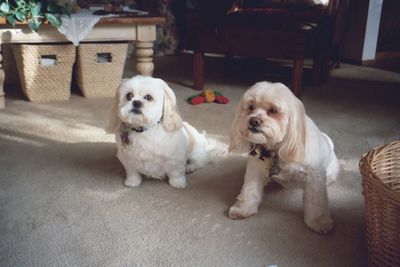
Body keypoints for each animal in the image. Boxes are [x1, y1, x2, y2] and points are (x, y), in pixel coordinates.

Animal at [228, 81, 338, 234]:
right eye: (251, 107)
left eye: (274, 110)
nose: (253, 121)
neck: (277, 148)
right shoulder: (255, 170)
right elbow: (249, 190)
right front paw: (243, 209)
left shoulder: (314, 178)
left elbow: (317, 203)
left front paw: (319, 222)